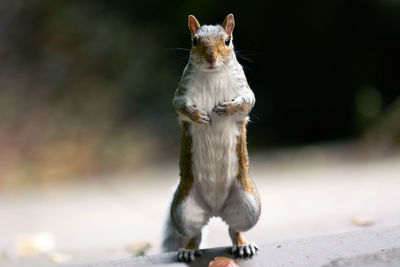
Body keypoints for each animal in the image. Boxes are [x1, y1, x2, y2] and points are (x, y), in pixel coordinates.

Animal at [163, 13, 262, 262]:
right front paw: (197, 115)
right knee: (195, 233)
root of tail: (215, 209)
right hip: (183, 211)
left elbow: (248, 101)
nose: (211, 58)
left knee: (234, 229)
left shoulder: (243, 86)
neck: (212, 73)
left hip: (249, 207)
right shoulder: (182, 91)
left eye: (227, 40)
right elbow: (179, 106)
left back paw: (243, 245)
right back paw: (188, 250)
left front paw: (229, 108)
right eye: (195, 41)